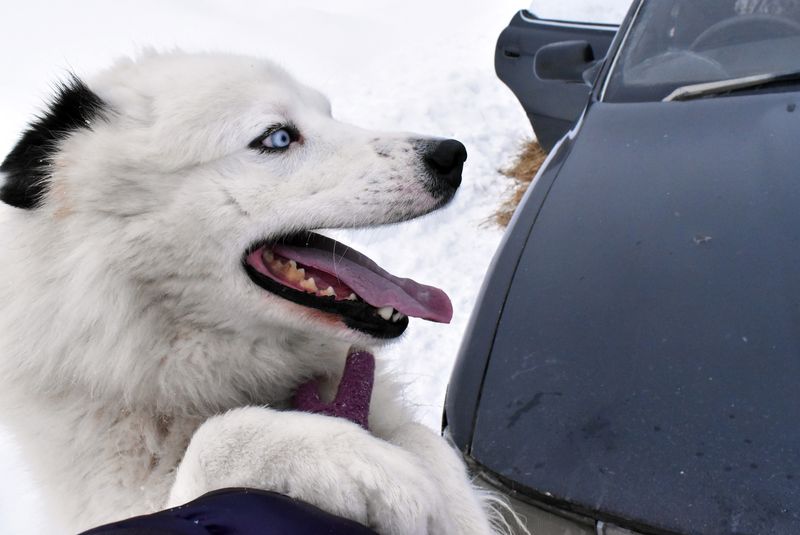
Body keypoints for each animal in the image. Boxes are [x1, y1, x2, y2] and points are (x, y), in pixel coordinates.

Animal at [0, 51, 504, 535]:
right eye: (277, 138)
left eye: (328, 113)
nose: (452, 155)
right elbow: (220, 435)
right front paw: (362, 462)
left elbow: (424, 440)